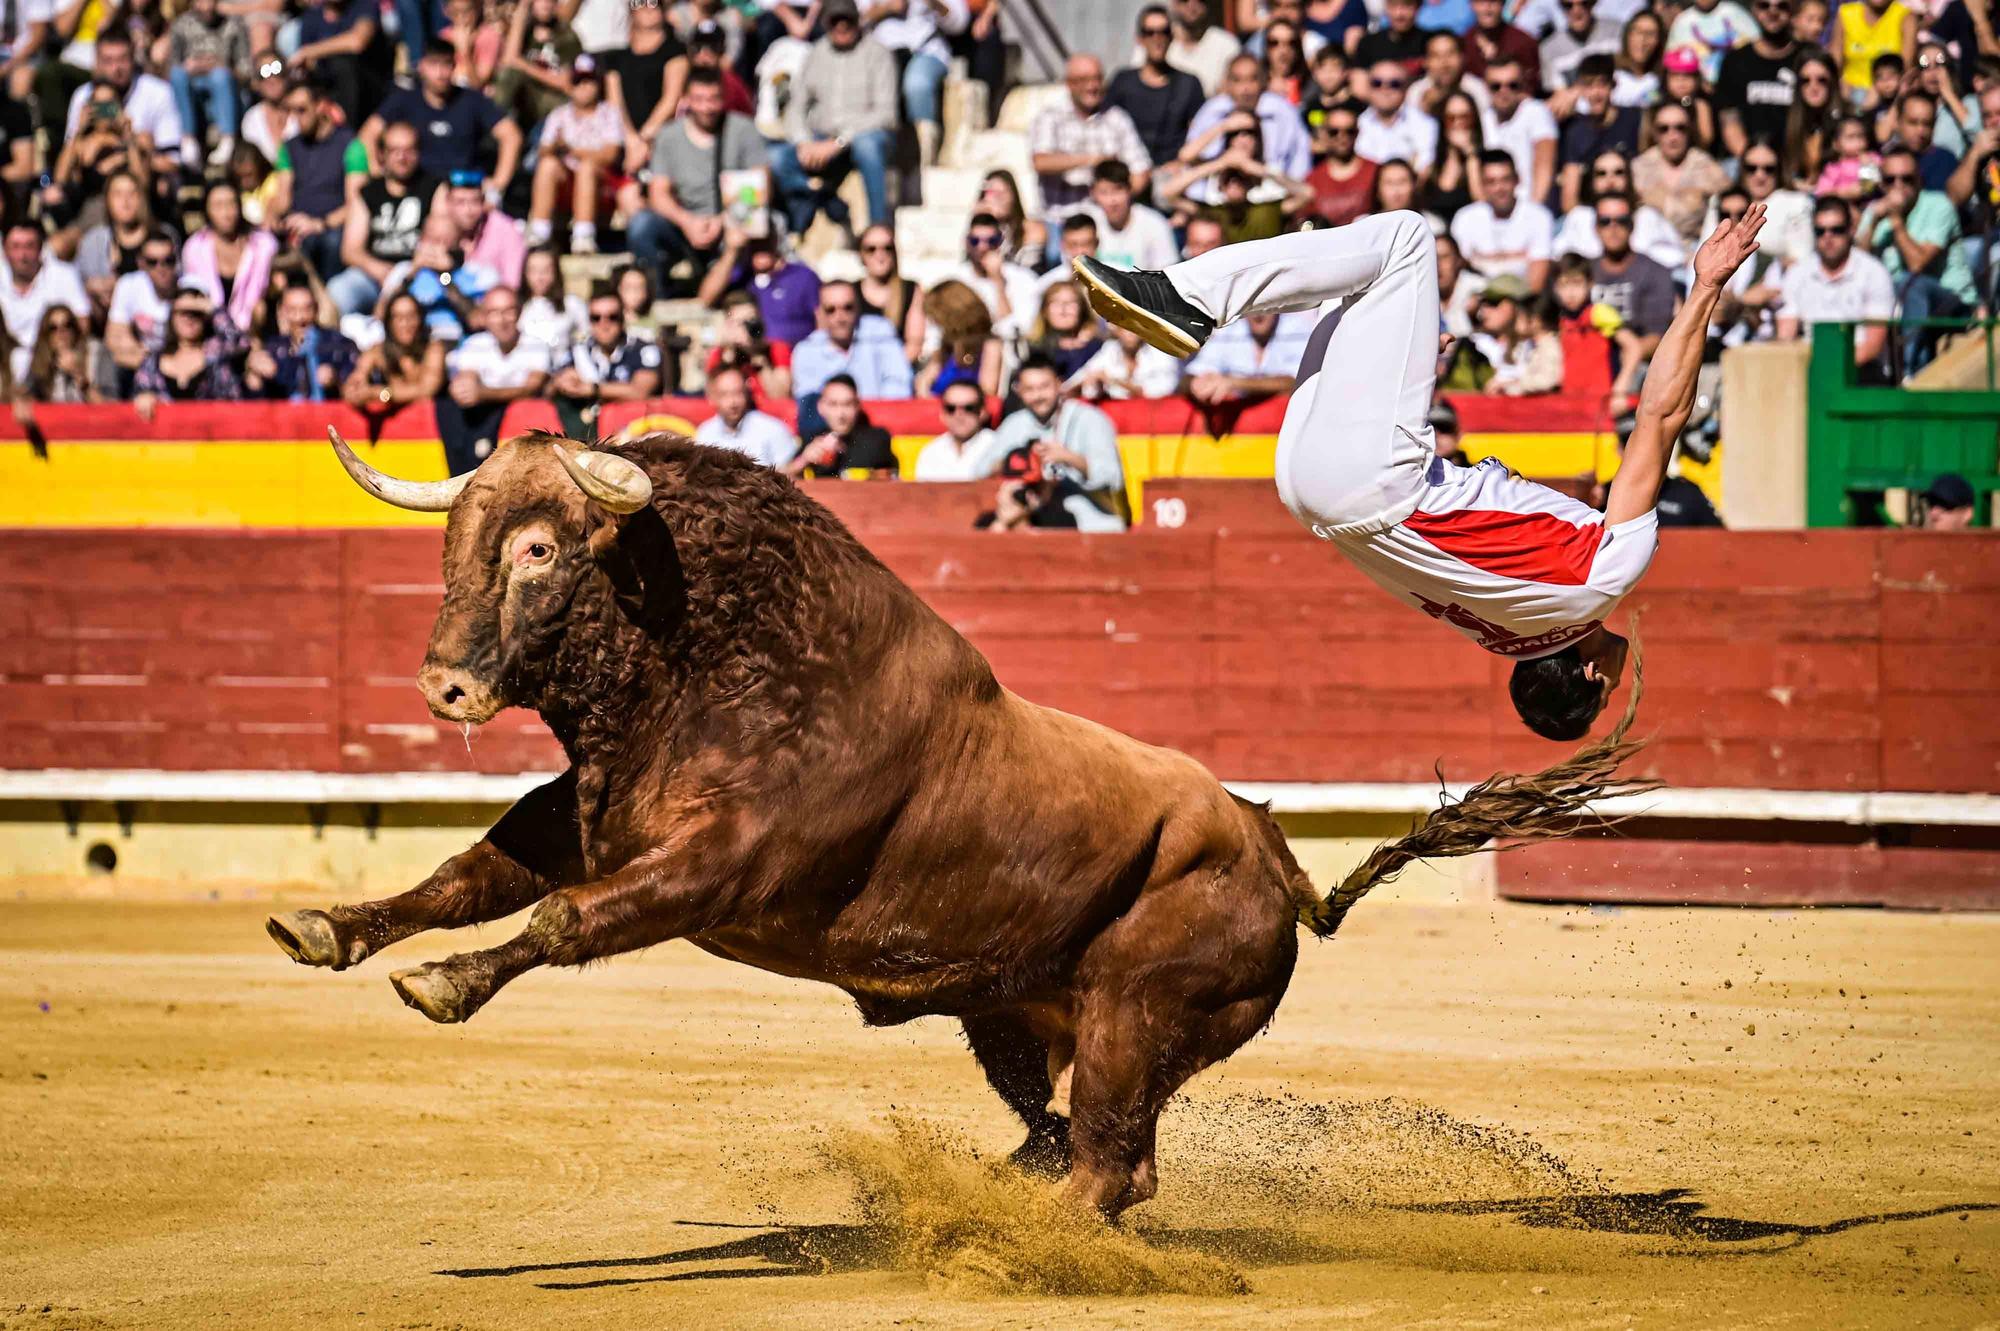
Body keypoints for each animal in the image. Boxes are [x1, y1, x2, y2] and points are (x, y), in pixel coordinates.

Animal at [274, 427, 1648, 1215]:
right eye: (457, 538)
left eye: (543, 548)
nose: (444, 686)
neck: (710, 656)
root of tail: (1282, 869)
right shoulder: (590, 814)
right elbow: (467, 871)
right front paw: (325, 927)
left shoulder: (714, 868)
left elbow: (560, 918)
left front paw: (441, 986)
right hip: (1016, 1016)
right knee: (1084, 1142)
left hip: (1134, 1016)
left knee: (1105, 1162)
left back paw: (1020, 1233)